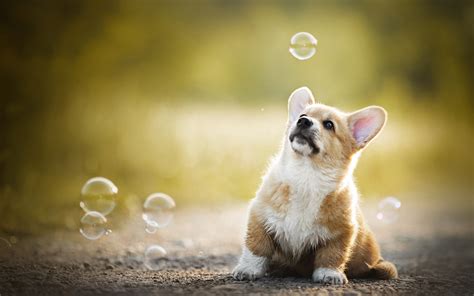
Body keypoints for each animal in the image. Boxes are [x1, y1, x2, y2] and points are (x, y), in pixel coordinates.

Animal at [232, 87, 396, 284]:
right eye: (303, 115)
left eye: (329, 125)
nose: (303, 121)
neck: (307, 175)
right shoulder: (260, 218)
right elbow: (256, 248)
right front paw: (248, 269)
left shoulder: (341, 232)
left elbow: (332, 255)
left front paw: (330, 274)